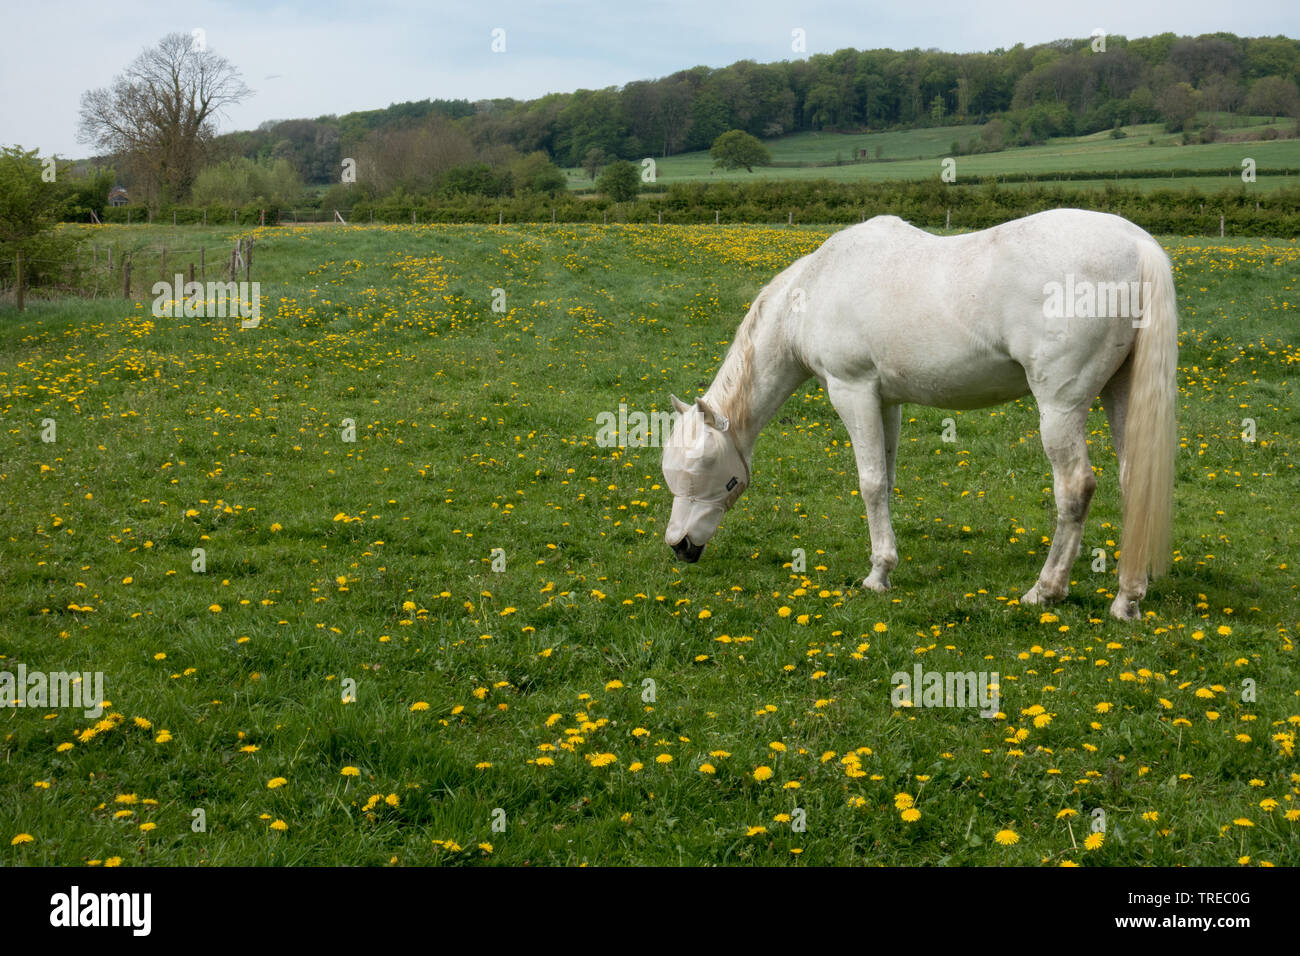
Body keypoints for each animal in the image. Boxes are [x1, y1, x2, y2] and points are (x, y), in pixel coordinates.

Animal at [660, 209, 1180, 621]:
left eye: (704, 469)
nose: (679, 546)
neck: (813, 290)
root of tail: (1137, 245)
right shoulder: (885, 401)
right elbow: (886, 481)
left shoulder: (852, 392)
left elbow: (870, 483)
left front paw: (877, 574)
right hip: (1120, 393)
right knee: (1135, 480)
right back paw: (1126, 599)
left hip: (1060, 408)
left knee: (1075, 489)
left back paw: (1046, 590)